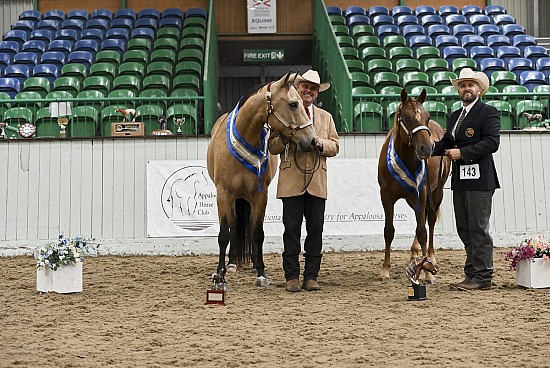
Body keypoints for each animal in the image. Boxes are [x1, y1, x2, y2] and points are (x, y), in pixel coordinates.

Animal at [207, 70, 320, 286]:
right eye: (293, 104)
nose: (312, 141)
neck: (245, 136)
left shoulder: (260, 195)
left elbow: (257, 233)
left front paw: (261, 273)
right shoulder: (223, 194)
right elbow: (224, 234)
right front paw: (220, 275)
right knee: (233, 226)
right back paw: (232, 264)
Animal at [380, 88, 452, 282]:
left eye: (426, 117)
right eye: (406, 117)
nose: (426, 148)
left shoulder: (422, 194)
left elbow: (423, 232)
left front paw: (427, 271)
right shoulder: (386, 196)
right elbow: (389, 230)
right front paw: (385, 270)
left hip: (436, 193)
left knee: (430, 220)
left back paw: (431, 257)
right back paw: (414, 253)